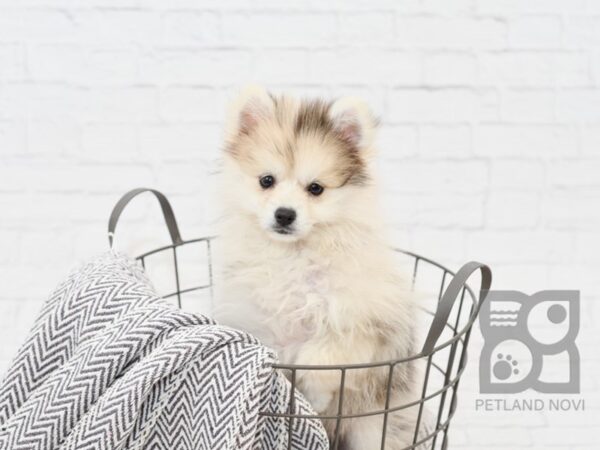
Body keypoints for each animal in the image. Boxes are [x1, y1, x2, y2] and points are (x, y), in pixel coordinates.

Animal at [213, 86, 424, 448]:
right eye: (266, 180)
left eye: (316, 188)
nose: (285, 214)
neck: (294, 257)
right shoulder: (256, 321)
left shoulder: (367, 319)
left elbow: (324, 350)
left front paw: (314, 394)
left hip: (373, 427)